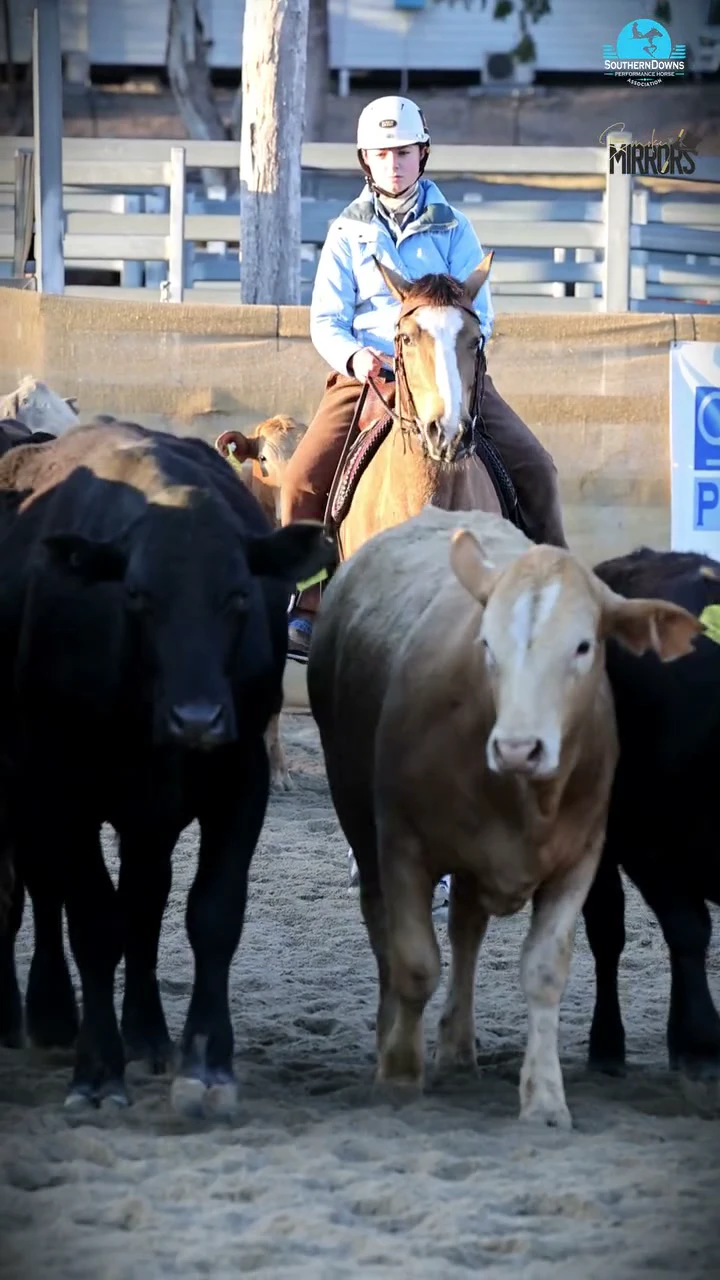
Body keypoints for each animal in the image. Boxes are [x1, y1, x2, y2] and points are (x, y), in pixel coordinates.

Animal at [0, 418, 335, 1115]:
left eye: (238, 594)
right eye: (136, 595)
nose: (197, 719)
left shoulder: (239, 780)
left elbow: (210, 914)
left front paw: (206, 1062)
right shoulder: (63, 784)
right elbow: (93, 921)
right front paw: (98, 1072)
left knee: (145, 902)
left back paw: (146, 1033)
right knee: (41, 891)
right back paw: (45, 1016)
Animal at [307, 507, 700, 1128]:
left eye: (583, 646)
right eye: (487, 643)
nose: (519, 748)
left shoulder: (581, 859)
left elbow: (543, 972)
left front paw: (544, 1098)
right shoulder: (403, 846)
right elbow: (414, 963)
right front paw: (399, 1074)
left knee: (466, 928)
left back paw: (458, 1047)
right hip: (359, 820)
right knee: (383, 932)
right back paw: (390, 1033)